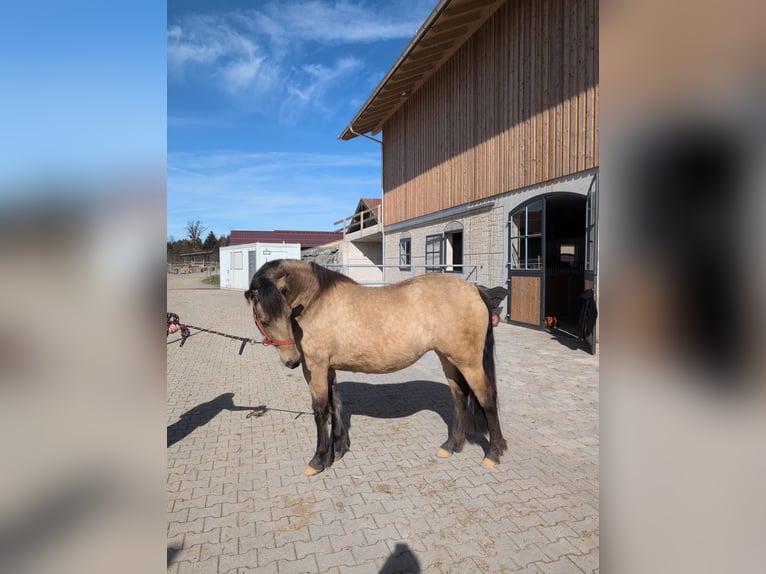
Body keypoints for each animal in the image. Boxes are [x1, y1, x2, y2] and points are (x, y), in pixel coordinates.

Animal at [245, 259, 507, 476]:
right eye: (265, 320)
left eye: (287, 314)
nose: (292, 361)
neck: (316, 300)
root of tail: (474, 289)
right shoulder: (328, 368)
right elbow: (334, 403)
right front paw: (337, 450)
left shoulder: (315, 367)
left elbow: (320, 411)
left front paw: (318, 460)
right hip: (448, 359)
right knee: (460, 397)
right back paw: (451, 446)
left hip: (468, 362)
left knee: (486, 397)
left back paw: (493, 454)